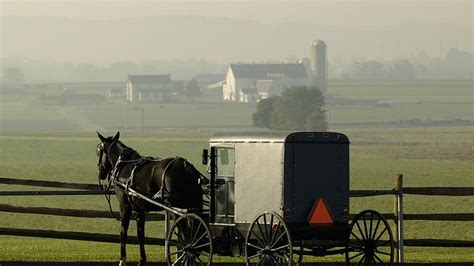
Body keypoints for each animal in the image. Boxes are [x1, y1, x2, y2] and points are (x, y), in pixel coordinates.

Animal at [96, 132, 204, 264]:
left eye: (99, 150)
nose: (100, 172)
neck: (124, 165)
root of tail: (186, 167)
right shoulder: (139, 210)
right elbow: (140, 235)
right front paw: (142, 260)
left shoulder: (124, 206)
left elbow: (123, 232)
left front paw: (122, 260)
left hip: (177, 210)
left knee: (187, 236)